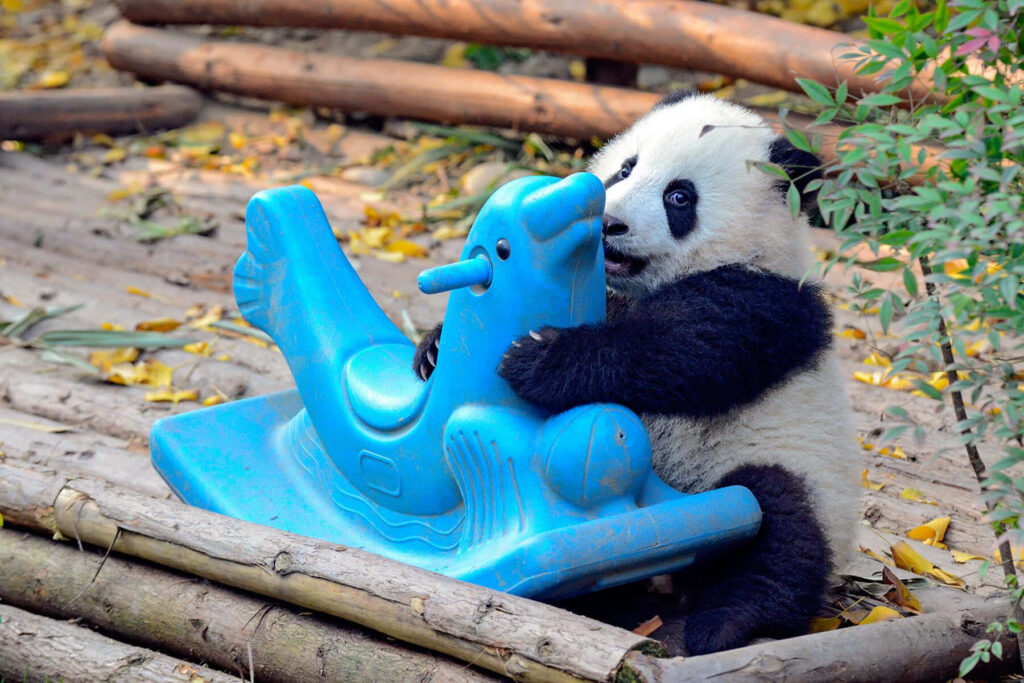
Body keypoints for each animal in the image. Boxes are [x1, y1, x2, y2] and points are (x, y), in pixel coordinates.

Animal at [413, 92, 859, 655]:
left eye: (679, 198)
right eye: (625, 169)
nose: (611, 224)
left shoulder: (765, 304)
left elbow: (682, 353)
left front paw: (540, 360)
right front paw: (432, 349)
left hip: (797, 469)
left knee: (780, 526)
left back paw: (730, 622)